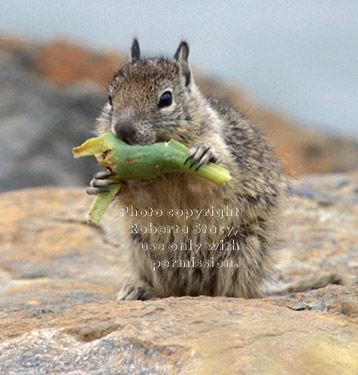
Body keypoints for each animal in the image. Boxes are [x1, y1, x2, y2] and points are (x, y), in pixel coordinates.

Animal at [88, 39, 286, 302]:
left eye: (166, 99)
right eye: (111, 97)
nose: (122, 130)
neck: (164, 169)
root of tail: (191, 289)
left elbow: (210, 178)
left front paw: (204, 153)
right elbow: (138, 195)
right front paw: (100, 181)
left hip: (241, 249)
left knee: (228, 289)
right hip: (140, 247)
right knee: (165, 288)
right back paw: (137, 290)